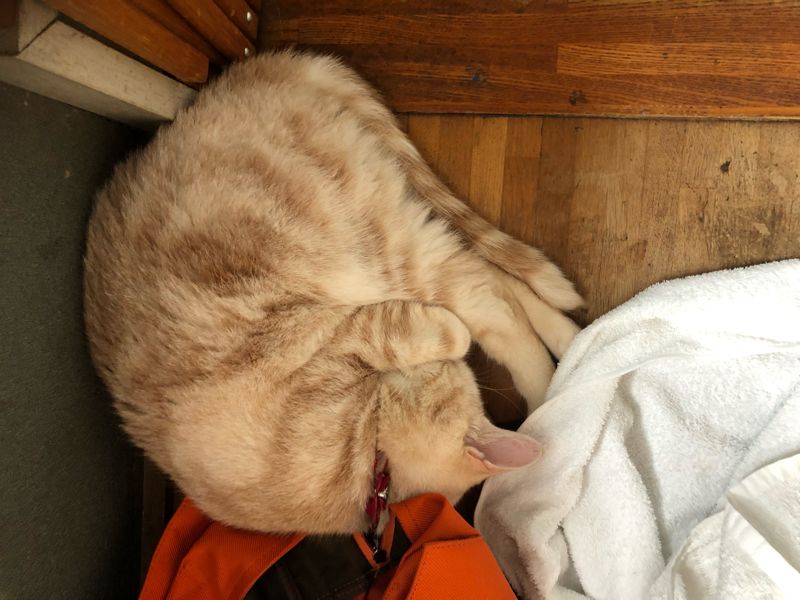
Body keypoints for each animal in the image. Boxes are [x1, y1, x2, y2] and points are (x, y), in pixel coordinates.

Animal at [83, 50, 581, 535]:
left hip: (384, 246)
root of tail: (257, 69)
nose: (450, 366)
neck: (368, 459)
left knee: (491, 301)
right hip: (394, 245)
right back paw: (569, 343)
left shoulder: (328, 332)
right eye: (450, 379)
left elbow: (443, 327)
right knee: (495, 285)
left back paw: (549, 386)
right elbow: (452, 323)